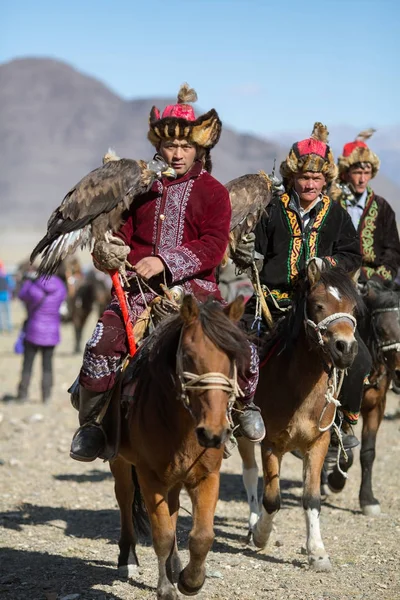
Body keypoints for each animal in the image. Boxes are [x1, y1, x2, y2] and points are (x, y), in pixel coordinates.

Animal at [109, 296, 247, 600]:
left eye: (232, 359)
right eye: (190, 356)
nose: (213, 433)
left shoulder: (207, 476)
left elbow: (202, 535)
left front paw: (190, 580)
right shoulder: (150, 477)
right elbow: (162, 534)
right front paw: (166, 588)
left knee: (172, 509)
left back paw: (174, 565)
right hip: (121, 462)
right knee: (124, 497)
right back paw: (128, 560)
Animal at [238, 262, 360, 572]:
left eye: (353, 308)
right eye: (318, 305)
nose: (345, 348)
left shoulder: (318, 444)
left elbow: (312, 498)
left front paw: (317, 552)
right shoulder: (271, 443)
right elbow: (271, 499)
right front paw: (262, 534)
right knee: (249, 472)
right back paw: (252, 524)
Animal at [326, 282, 400, 516]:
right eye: (382, 329)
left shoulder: (377, 406)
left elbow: (368, 452)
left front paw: (367, 499)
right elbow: (345, 450)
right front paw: (335, 481)